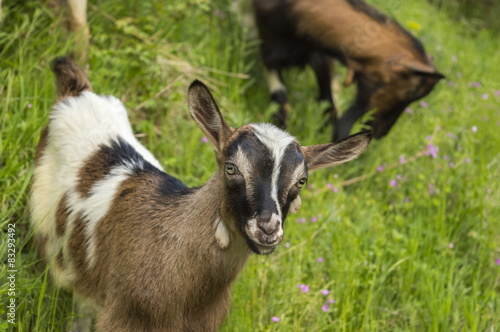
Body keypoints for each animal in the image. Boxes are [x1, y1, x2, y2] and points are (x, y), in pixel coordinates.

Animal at [254, 0, 446, 139]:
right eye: (410, 92)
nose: (381, 133)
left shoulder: (318, 55)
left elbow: (329, 99)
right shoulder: (270, 48)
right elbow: (281, 96)